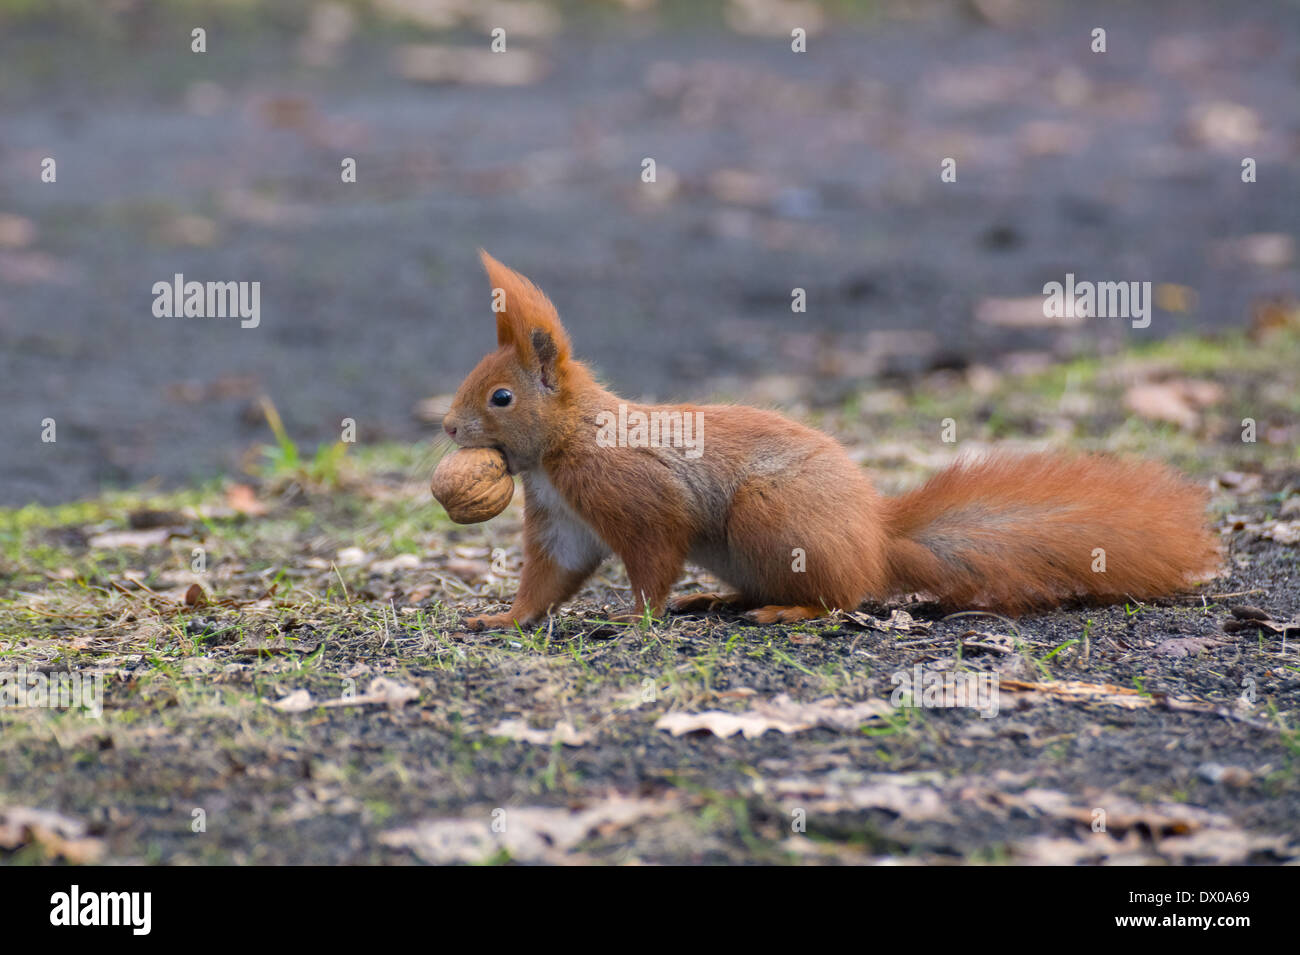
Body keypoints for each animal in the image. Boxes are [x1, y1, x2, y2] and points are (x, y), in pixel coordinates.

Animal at [439, 250, 1216, 631]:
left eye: (501, 396)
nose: (447, 427)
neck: (563, 448)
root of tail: (876, 538)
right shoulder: (561, 519)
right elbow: (551, 577)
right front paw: (501, 618)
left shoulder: (634, 492)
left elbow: (654, 554)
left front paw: (636, 618)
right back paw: (719, 602)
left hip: (773, 519)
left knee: (842, 598)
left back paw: (789, 608)